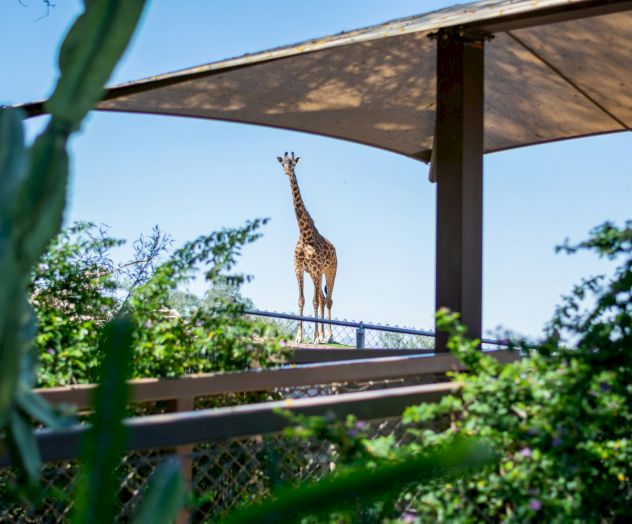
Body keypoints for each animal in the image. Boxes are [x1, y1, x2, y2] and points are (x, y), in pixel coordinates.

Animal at [276, 151, 336, 344]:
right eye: (282, 164)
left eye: (293, 164)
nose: (287, 171)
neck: (305, 235)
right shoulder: (299, 269)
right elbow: (302, 300)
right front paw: (299, 337)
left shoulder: (316, 269)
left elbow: (314, 302)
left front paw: (315, 338)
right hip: (316, 275)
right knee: (323, 299)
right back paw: (323, 335)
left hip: (330, 271)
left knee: (328, 300)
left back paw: (329, 336)